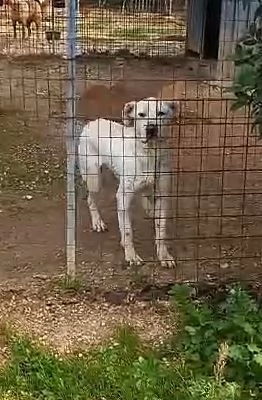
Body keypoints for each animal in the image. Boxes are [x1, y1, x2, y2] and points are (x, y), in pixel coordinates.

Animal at [77, 96, 177, 268]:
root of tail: (91, 123)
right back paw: (97, 222)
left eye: (161, 113)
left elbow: (161, 230)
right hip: (95, 178)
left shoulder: (162, 197)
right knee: (90, 198)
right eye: (141, 115)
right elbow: (128, 230)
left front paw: (164, 255)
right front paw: (131, 255)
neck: (149, 153)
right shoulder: (123, 198)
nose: (151, 128)